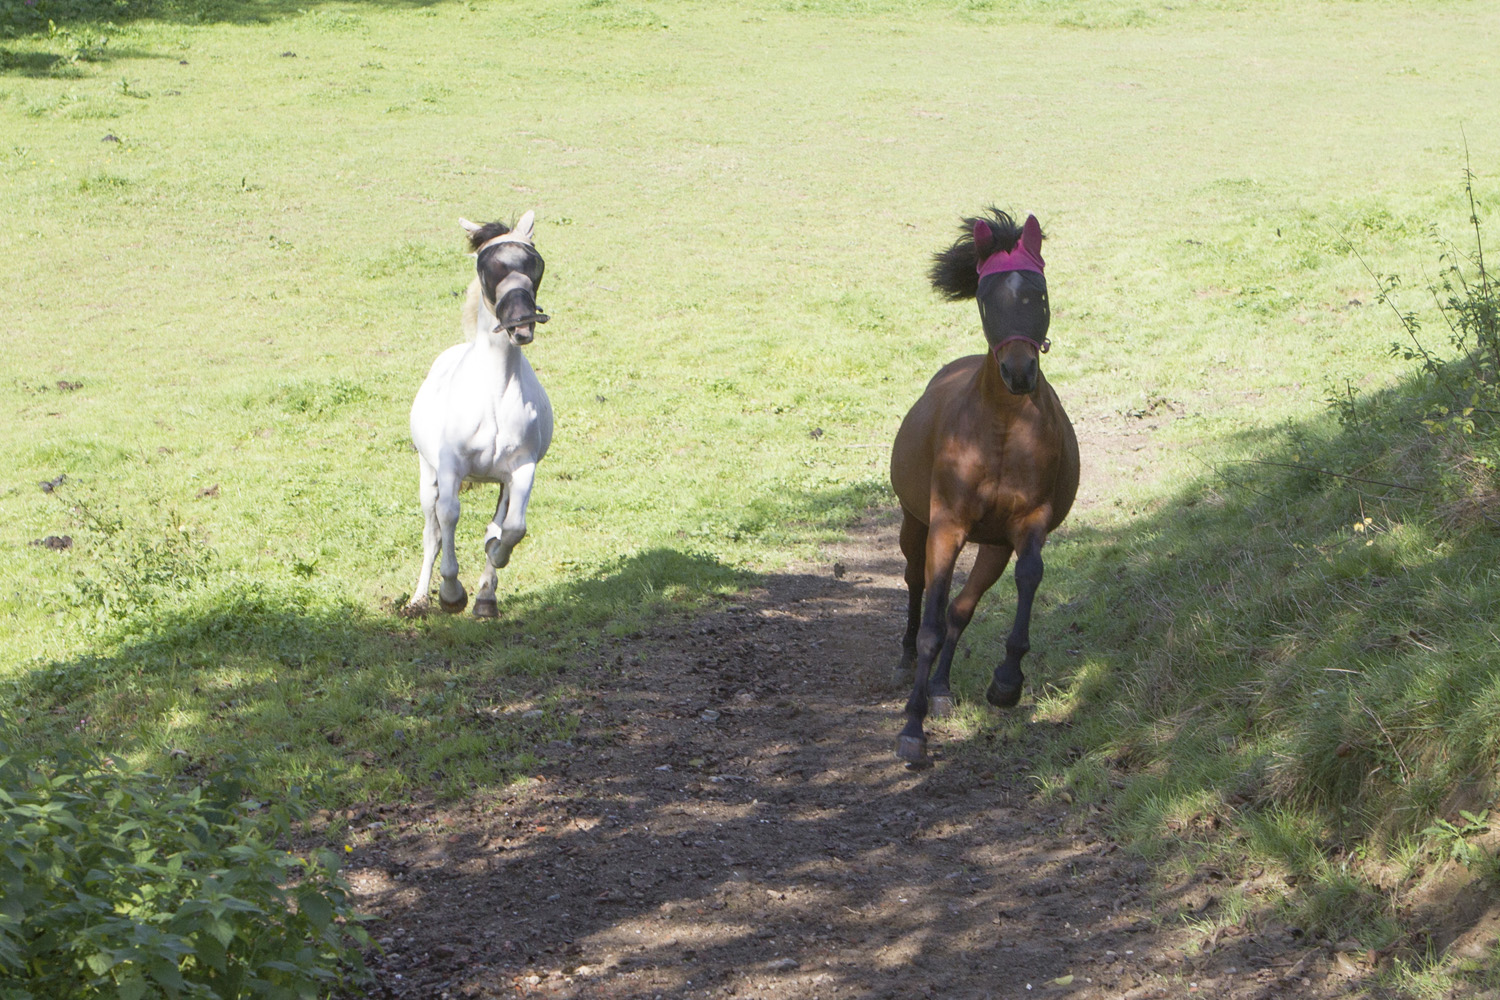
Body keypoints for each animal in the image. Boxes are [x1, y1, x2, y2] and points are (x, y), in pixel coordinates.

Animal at [404, 209, 554, 618]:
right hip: (427, 473)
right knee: (431, 532)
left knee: (497, 523)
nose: (520, 323)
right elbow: (448, 517)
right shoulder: (450, 466)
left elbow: (512, 529)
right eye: (486, 266)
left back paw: (486, 595)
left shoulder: (522, 468)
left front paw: (487, 588)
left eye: (536, 263)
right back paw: (419, 598)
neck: (495, 395)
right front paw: (451, 593)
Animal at [888, 209, 1079, 763]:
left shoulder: (1027, 524)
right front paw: (912, 728)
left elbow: (1026, 579)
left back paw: (941, 688)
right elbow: (931, 623)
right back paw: (907, 665)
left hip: (991, 546)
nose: (1018, 372)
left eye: (1038, 293)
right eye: (985, 297)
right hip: (914, 525)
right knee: (916, 586)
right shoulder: (946, 527)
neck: (1002, 428)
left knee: (962, 608)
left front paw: (1007, 683)